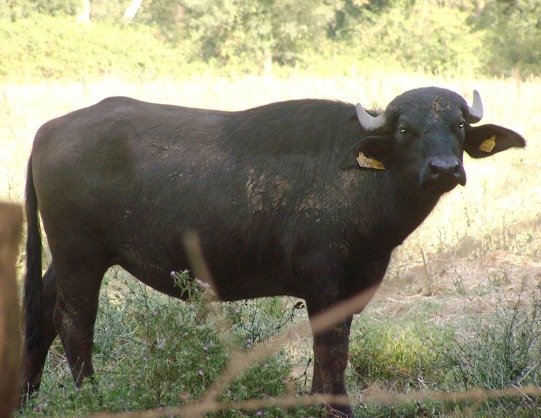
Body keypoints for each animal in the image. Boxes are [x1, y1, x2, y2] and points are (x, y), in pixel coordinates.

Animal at [24, 87, 524, 414]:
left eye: (457, 125)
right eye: (405, 129)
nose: (445, 168)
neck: (362, 182)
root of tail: (48, 130)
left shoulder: (354, 285)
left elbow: (333, 348)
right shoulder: (325, 284)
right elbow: (332, 348)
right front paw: (336, 407)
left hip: (63, 260)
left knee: (42, 312)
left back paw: (27, 393)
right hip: (80, 258)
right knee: (73, 322)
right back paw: (92, 398)